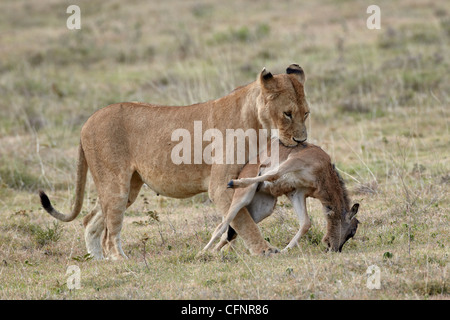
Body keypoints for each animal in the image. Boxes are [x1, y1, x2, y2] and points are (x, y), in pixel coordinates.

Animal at [202, 141, 360, 254]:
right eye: (352, 231)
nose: (334, 249)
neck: (325, 171)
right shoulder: (293, 162)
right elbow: (273, 174)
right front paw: (233, 183)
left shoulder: (297, 192)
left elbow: (305, 223)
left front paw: (284, 250)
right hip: (243, 198)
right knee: (223, 225)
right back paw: (202, 252)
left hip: (262, 210)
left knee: (231, 231)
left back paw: (214, 252)